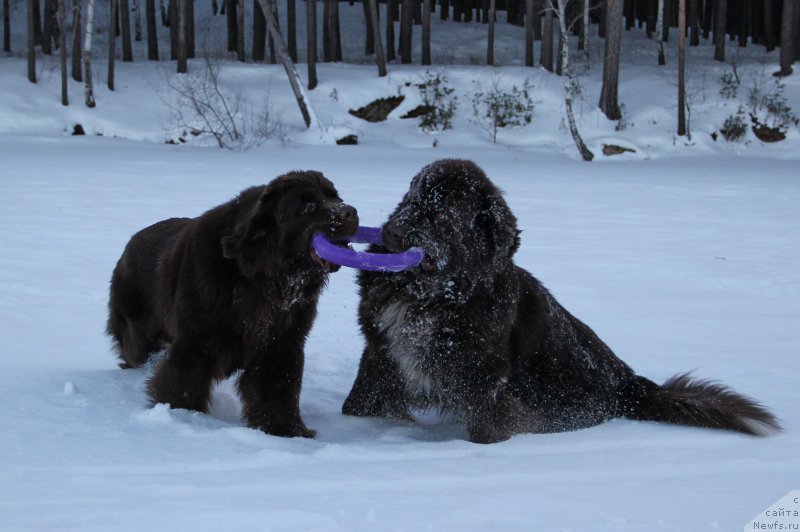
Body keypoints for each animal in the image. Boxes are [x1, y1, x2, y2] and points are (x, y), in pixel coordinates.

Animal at [108, 170, 358, 436]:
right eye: (308, 206)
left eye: (336, 197)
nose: (350, 211)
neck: (259, 277)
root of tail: (129, 245)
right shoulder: (195, 341)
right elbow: (184, 381)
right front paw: (182, 415)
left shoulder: (281, 345)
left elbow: (278, 391)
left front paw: (286, 430)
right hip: (138, 336)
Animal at [340, 160, 780, 442]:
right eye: (411, 200)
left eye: (441, 215)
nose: (391, 233)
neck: (431, 294)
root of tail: (632, 385)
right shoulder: (381, 353)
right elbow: (358, 403)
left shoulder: (484, 379)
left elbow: (486, 428)